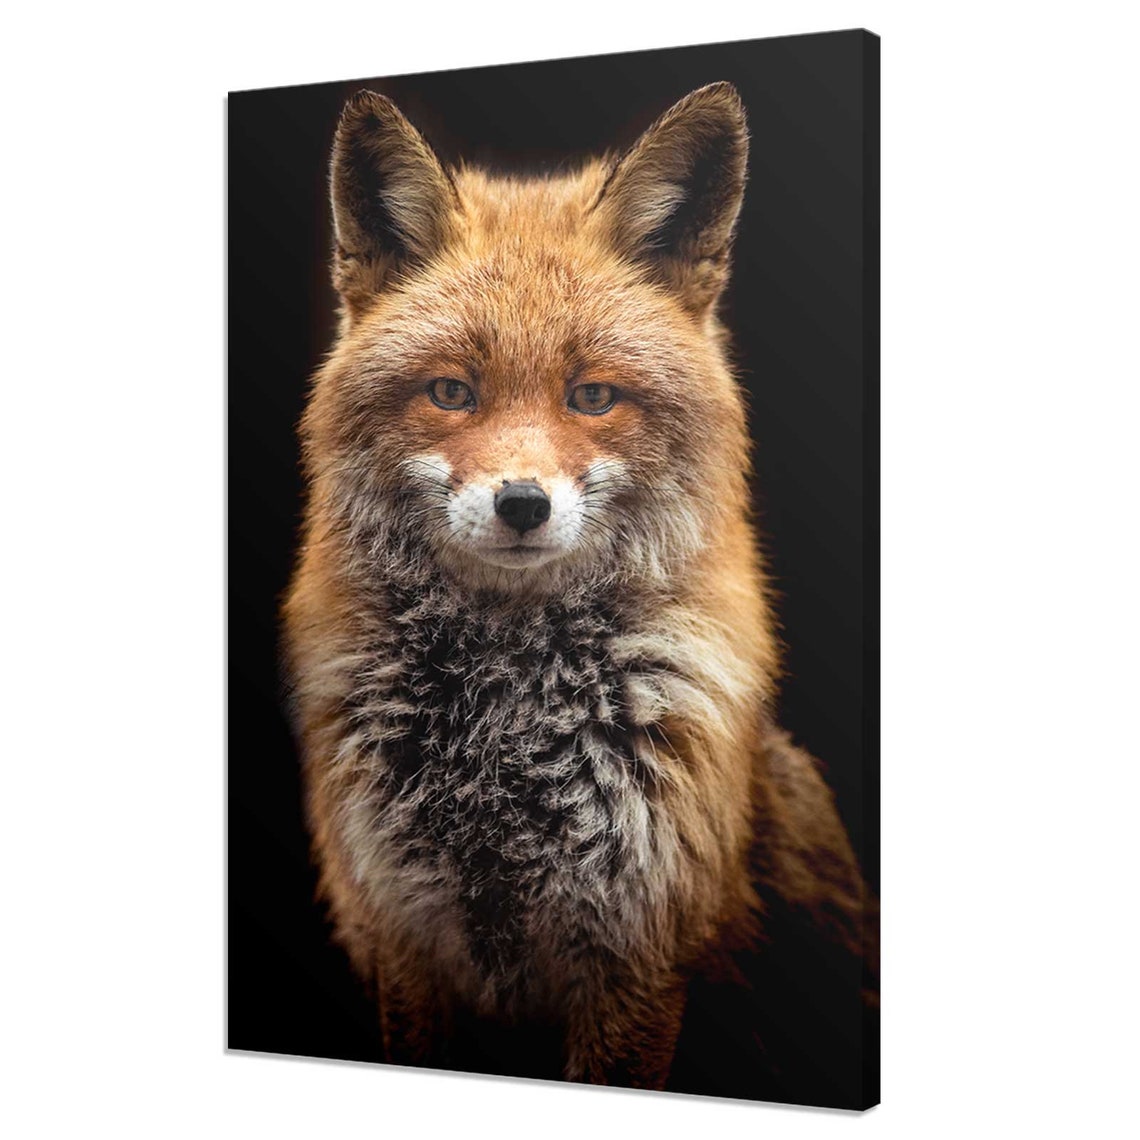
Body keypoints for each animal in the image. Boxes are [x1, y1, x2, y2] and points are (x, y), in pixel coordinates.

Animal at [282, 82, 876, 1100]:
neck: (502, 732)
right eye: (452, 391)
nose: (522, 504)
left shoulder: (640, 953)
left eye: (592, 396)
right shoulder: (402, 934)